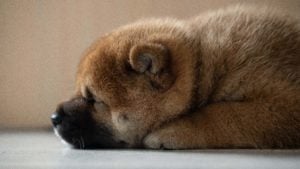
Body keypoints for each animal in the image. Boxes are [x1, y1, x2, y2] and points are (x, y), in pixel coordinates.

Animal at [51, 5, 300, 149]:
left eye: (94, 100)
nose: (53, 117)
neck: (202, 64)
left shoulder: (283, 103)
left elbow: (222, 113)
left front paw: (171, 132)